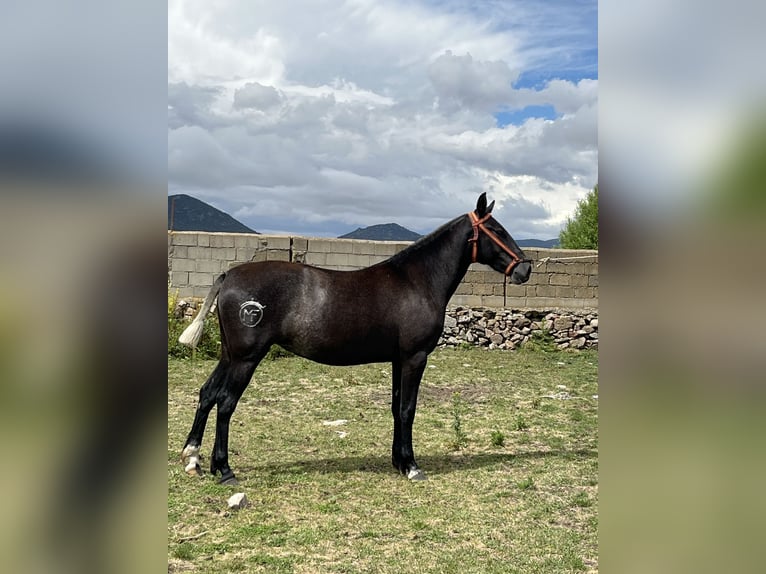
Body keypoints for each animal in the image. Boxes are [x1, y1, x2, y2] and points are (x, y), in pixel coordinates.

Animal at [178, 195, 536, 486]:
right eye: (497, 230)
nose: (526, 269)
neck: (417, 281)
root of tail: (230, 276)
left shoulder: (398, 359)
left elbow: (395, 407)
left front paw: (398, 462)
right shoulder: (415, 357)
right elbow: (408, 409)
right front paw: (413, 467)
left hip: (230, 355)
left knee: (207, 394)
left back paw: (194, 459)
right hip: (246, 359)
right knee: (225, 403)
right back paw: (224, 470)